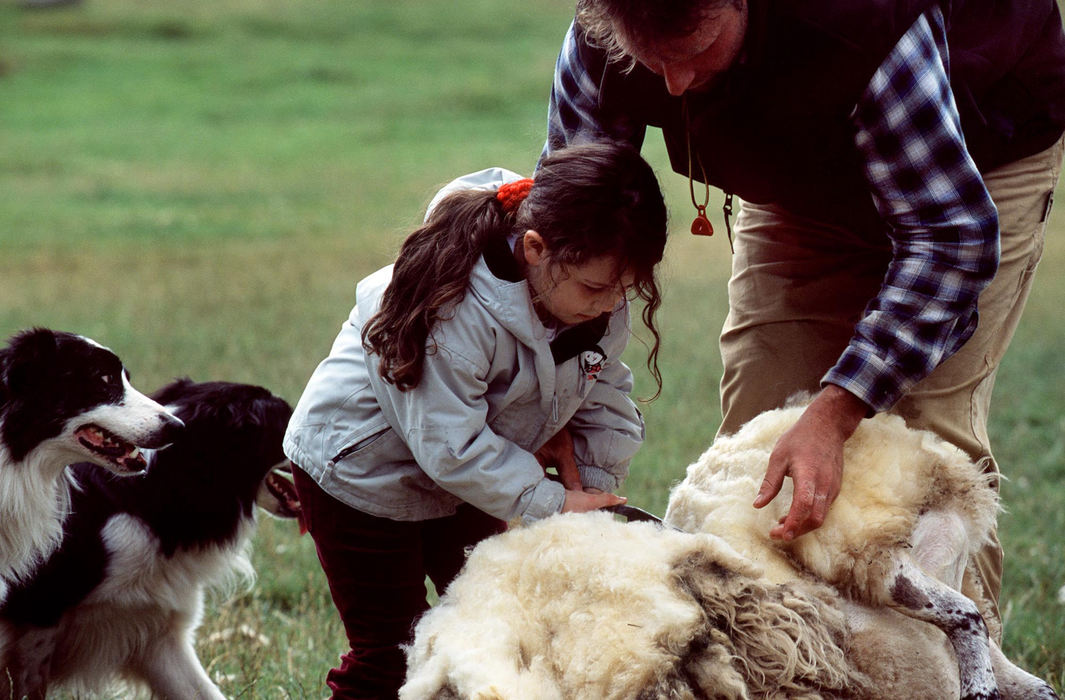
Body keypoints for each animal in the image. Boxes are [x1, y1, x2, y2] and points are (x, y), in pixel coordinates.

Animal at [400, 400, 1056, 694]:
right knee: (997, 651)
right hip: (922, 566)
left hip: (863, 546)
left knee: (963, 617)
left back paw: (976, 687)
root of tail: (940, 468)